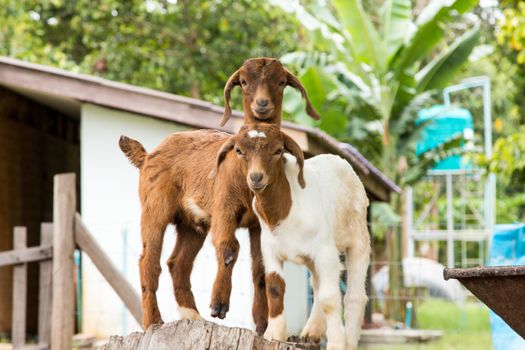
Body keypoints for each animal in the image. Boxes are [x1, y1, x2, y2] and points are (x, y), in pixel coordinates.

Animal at [119, 58, 320, 334]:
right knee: (149, 260)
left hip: (192, 223)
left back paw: (192, 315)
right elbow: (228, 248)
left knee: (177, 262)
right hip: (154, 206)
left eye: (281, 82)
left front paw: (261, 325)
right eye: (243, 81)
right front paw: (218, 306)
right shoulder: (225, 207)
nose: (262, 104)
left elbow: (260, 267)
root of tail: (147, 155)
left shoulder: (260, 224)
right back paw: (154, 322)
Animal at [216, 123, 368, 350]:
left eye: (278, 151)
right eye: (239, 150)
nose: (256, 178)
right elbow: (274, 288)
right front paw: (274, 335)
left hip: (358, 238)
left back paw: (348, 340)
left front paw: (337, 343)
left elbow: (330, 298)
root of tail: (339, 160)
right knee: (317, 285)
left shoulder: (325, 252)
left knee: (354, 295)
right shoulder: (270, 250)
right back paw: (310, 333)